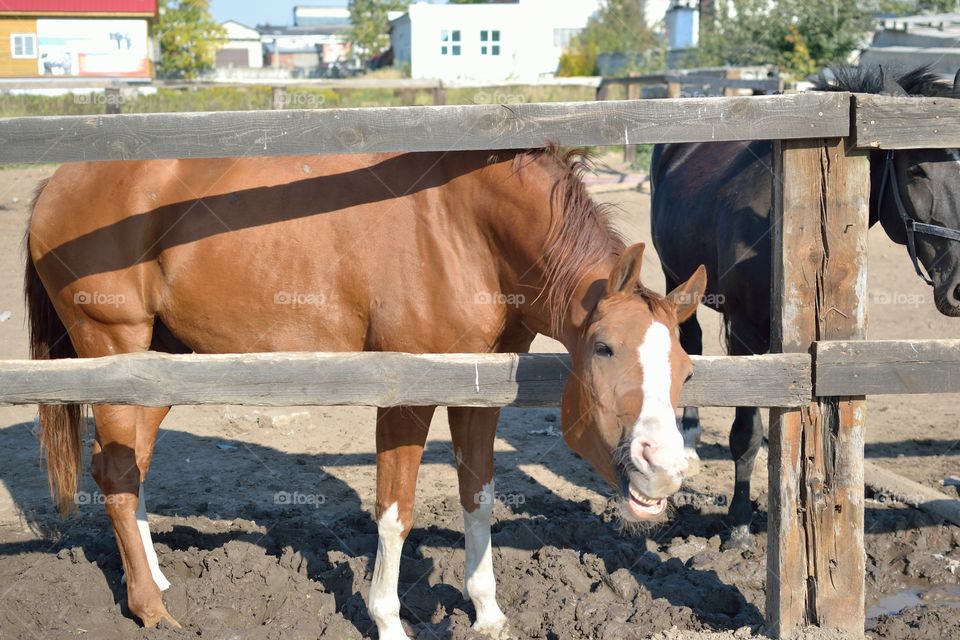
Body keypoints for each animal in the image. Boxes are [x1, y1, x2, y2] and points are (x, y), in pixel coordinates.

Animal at [25, 147, 707, 638]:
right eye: (604, 349)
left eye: (686, 369)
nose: (664, 469)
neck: (468, 231)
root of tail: (56, 185)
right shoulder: (405, 398)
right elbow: (394, 512)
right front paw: (387, 620)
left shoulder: (477, 393)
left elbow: (479, 498)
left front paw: (487, 613)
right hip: (113, 351)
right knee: (115, 471)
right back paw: (149, 608)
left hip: (159, 366)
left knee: (130, 464)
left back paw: (157, 580)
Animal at [650, 65, 960, 551]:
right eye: (916, 169)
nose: (959, 284)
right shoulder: (743, 332)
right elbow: (746, 434)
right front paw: (739, 523)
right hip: (673, 273)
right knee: (689, 339)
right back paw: (687, 440)